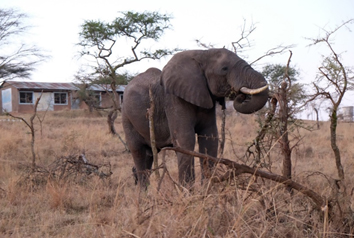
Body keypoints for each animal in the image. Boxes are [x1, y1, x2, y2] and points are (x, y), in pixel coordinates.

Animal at [121, 48, 268, 189]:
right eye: (224, 68)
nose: (240, 95)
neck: (202, 54)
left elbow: (210, 138)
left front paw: (208, 191)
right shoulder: (174, 100)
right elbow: (185, 140)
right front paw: (188, 194)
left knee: (149, 156)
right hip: (126, 117)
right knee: (139, 153)